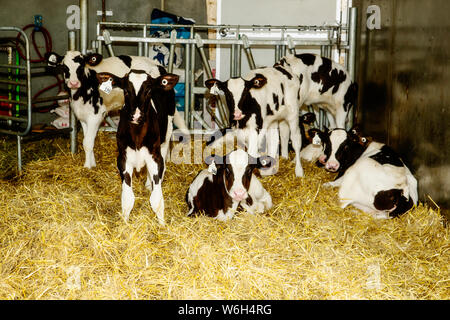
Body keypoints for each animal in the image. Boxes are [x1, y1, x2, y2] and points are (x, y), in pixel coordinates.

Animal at [45, 50, 186, 168]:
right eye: (64, 67)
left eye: (81, 66)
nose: (73, 83)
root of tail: (159, 65)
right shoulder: (83, 117)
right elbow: (87, 141)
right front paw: (92, 164)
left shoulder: (96, 116)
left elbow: (87, 143)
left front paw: (87, 167)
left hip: (168, 111)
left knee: (168, 133)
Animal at [97, 69, 180, 224]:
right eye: (126, 90)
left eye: (149, 90)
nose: (136, 116)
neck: (137, 136)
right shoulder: (123, 159)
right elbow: (127, 198)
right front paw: (125, 223)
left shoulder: (155, 157)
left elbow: (156, 198)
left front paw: (162, 224)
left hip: (166, 135)